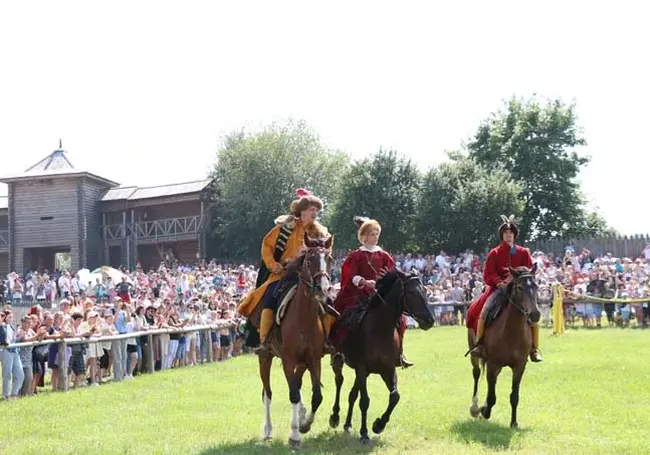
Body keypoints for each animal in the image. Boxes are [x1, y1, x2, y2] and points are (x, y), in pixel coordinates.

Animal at [253, 233, 334, 450]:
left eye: (329, 259)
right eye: (310, 260)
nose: (323, 289)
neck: (303, 318)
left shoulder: (314, 360)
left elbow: (316, 396)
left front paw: (304, 424)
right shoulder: (288, 360)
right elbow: (293, 395)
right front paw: (295, 435)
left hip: (302, 362)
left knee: (296, 385)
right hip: (265, 358)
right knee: (267, 393)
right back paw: (268, 430)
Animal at [326, 268, 432, 444]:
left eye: (424, 290)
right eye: (411, 292)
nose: (429, 320)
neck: (379, 330)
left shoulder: (388, 369)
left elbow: (395, 396)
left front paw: (378, 425)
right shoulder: (362, 368)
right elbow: (364, 401)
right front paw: (364, 433)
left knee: (352, 394)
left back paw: (347, 424)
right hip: (340, 360)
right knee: (339, 381)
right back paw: (335, 417)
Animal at [468, 266, 540, 430]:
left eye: (536, 286)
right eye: (519, 287)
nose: (535, 314)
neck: (511, 332)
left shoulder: (519, 366)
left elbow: (514, 396)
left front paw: (514, 423)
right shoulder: (493, 364)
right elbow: (491, 396)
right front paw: (484, 411)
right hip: (475, 355)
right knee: (476, 373)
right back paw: (475, 407)